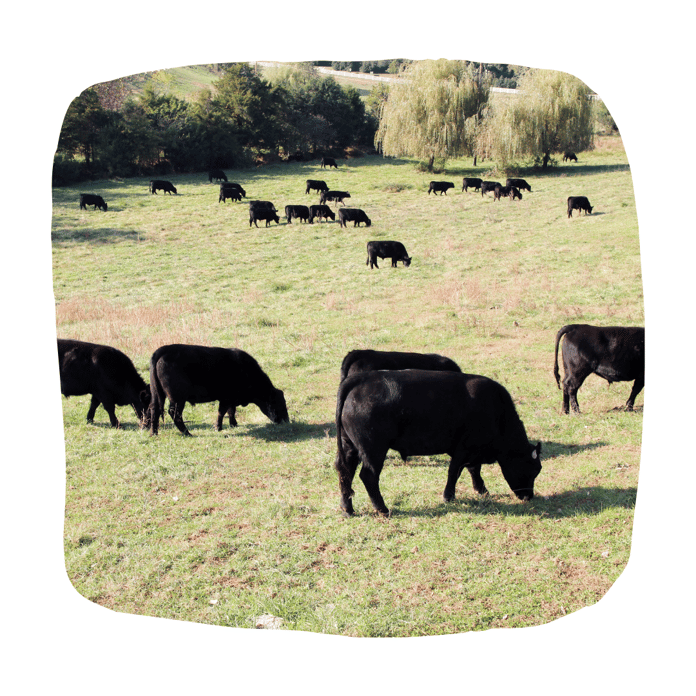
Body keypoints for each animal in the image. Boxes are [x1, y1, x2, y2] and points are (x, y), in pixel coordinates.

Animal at [148, 344, 288, 436]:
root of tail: (163, 350)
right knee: (174, 413)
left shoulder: (231, 398)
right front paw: (218, 427)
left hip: (157, 394)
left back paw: (154, 433)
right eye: (277, 402)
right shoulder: (226, 398)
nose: (285, 421)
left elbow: (231, 411)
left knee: (154, 409)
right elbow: (222, 412)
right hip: (178, 398)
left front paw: (233, 424)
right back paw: (187, 433)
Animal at [334, 369, 542, 516]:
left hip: (350, 447)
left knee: (345, 471)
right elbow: (455, 471)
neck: (497, 411)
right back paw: (382, 509)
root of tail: (362, 378)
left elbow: (473, 469)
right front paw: (449, 496)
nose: (528, 496)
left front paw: (481, 490)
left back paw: (348, 509)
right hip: (374, 450)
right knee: (368, 476)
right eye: (531, 469)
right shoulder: (464, 448)